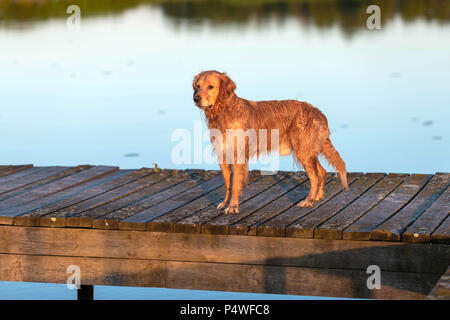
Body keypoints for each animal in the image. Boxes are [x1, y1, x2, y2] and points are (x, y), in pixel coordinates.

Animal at [192, 70, 346, 215]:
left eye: (211, 86)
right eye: (198, 86)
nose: (196, 98)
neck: (222, 112)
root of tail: (318, 112)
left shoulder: (238, 156)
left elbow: (235, 184)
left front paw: (233, 206)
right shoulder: (223, 155)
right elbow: (227, 184)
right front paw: (225, 203)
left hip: (303, 151)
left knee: (315, 176)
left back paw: (309, 200)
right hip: (308, 151)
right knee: (322, 172)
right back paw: (317, 197)